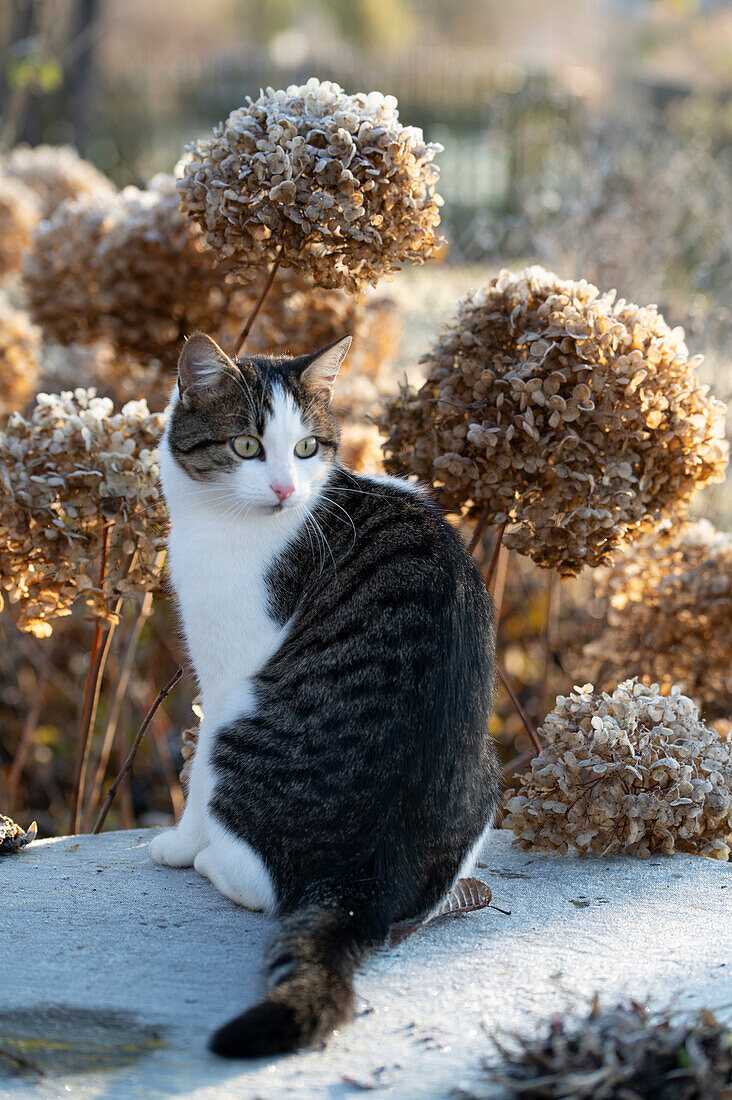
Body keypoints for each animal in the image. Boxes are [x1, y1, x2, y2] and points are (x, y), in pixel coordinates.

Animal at [149, 332, 501, 1056]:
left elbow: (194, 789)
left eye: (307, 448)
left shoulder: (225, 671)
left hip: (242, 722)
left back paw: (208, 861)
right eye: (246, 446)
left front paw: (177, 844)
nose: (286, 488)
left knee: (260, 882)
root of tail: (363, 883)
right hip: (488, 766)